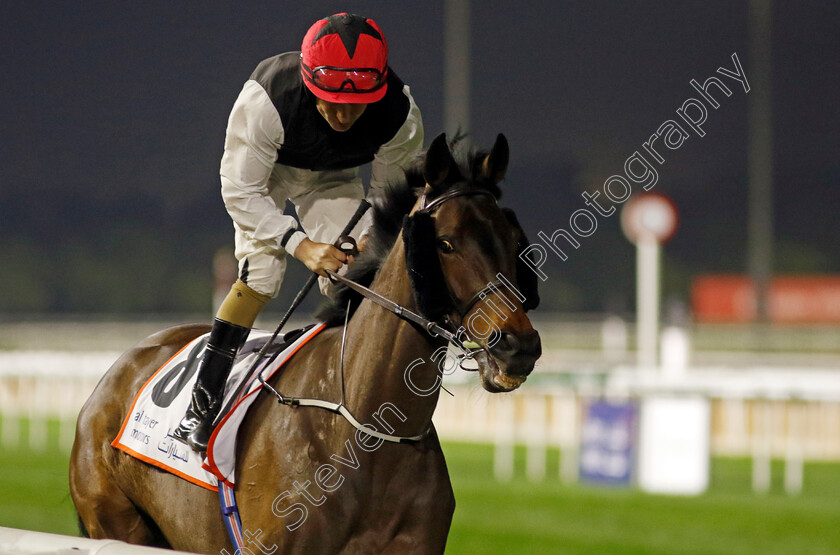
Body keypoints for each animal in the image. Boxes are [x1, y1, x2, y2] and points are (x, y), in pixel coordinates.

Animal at [69, 132, 540, 552]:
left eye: (514, 240)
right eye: (444, 244)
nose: (518, 348)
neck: (365, 427)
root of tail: (123, 365)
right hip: (115, 520)